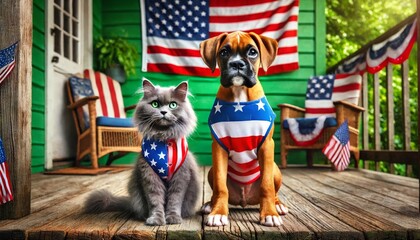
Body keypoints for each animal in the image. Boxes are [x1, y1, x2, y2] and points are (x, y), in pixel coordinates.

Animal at [84, 79, 200, 225]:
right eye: (155, 104)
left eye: (173, 105)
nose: (163, 112)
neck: (163, 140)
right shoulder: (149, 176)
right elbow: (155, 201)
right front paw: (156, 219)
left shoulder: (181, 176)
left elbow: (175, 200)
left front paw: (173, 218)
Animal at [200, 31, 288, 227]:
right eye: (224, 52)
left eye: (252, 52)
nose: (237, 64)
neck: (239, 93)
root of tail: (245, 200)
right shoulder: (219, 148)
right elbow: (220, 186)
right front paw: (218, 212)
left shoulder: (266, 146)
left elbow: (266, 185)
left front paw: (269, 213)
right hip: (211, 171)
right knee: (216, 189)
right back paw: (210, 204)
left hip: (276, 169)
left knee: (274, 190)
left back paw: (278, 205)